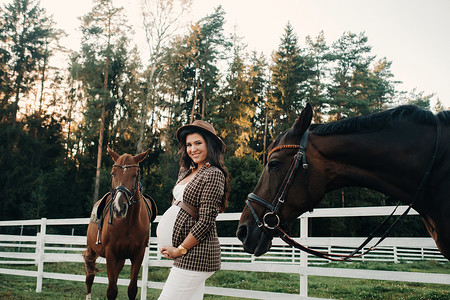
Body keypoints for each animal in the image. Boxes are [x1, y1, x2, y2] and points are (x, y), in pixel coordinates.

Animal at [83, 148, 157, 300]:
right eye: (113, 173)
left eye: (135, 175)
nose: (119, 207)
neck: (128, 223)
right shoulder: (111, 254)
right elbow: (111, 290)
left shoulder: (138, 254)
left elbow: (132, 289)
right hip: (92, 250)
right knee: (89, 277)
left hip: (121, 259)